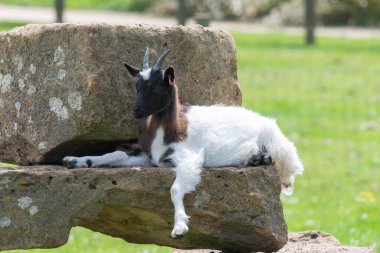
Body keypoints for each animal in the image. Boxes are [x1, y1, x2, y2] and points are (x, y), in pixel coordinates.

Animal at [63, 48, 302, 238]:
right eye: (136, 86)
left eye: (156, 87)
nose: (136, 111)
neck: (172, 130)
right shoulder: (149, 157)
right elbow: (115, 155)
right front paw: (74, 160)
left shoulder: (189, 157)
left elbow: (175, 188)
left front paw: (179, 226)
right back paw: (254, 158)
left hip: (280, 147)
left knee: (286, 171)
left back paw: (261, 157)